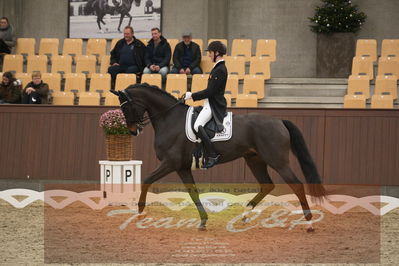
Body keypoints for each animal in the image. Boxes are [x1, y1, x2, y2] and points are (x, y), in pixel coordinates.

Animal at [111, 84, 326, 231]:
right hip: (254, 159)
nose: (133, 131)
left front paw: (141, 212)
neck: (169, 119)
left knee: (296, 185)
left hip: (277, 160)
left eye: (126, 108)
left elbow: (147, 180)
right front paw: (203, 221)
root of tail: (279, 121)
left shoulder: (170, 163)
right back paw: (245, 215)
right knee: (267, 185)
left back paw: (309, 223)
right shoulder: (182, 167)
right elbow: (193, 192)